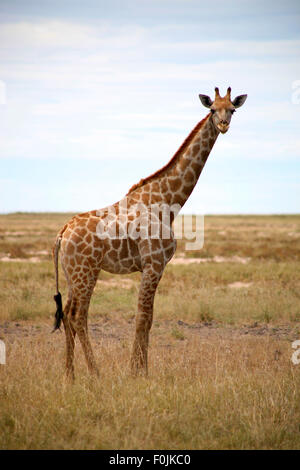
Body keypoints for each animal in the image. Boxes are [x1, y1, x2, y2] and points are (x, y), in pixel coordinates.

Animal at [52, 86, 247, 380]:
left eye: (232, 109)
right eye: (213, 109)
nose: (224, 125)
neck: (169, 201)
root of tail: (62, 232)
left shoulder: (157, 266)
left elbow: (150, 318)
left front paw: (143, 369)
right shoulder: (153, 263)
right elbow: (142, 317)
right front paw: (136, 372)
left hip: (72, 273)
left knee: (66, 313)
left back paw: (69, 375)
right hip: (86, 272)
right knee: (78, 316)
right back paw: (95, 372)